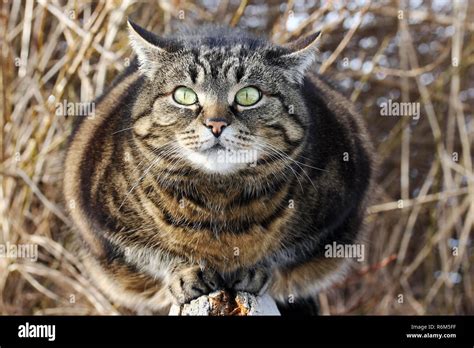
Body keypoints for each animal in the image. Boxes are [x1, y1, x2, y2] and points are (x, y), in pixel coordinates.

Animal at [63, 21, 374, 316]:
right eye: (184, 95)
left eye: (249, 95)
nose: (216, 124)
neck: (219, 198)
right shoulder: (103, 223)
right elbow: (152, 253)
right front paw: (186, 272)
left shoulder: (336, 215)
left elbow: (285, 253)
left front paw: (255, 269)